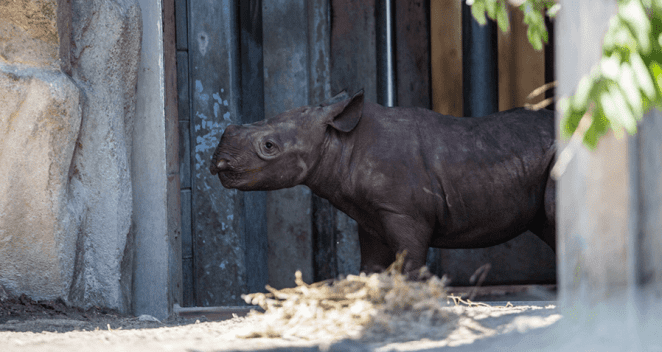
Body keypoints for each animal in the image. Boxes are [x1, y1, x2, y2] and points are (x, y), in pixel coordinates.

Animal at [210, 90, 556, 276]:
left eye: (269, 146)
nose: (218, 163)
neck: (340, 141)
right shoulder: (371, 214)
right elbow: (371, 267)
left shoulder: (404, 212)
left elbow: (411, 264)